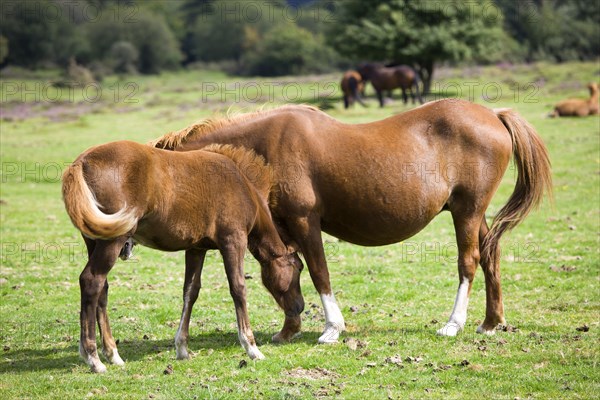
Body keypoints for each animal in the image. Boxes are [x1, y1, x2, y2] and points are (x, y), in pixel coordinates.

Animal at [61, 141, 304, 372]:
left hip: (95, 241)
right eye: (298, 268)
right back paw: (93, 358)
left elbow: (190, 292)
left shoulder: (196, 249)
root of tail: (81, 162)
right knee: (92, 281)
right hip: (113, 241)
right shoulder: (233, 241)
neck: (243, 186)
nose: (299, 306)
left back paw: (113, 354)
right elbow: (238, 288)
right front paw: (252, 347)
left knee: (102, 290)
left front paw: (182, 348)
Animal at [151, 100, 552, 344]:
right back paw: (490, 321)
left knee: (469, 261)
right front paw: (289, 328)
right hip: (472, 212)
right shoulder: (282, 228)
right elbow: (286, 270)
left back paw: (454, 324)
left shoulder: (304, 221)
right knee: (490, 255)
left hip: (467, 211)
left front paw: (331, 328)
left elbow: (317, 272)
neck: (266, 146)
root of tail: (493, 115)